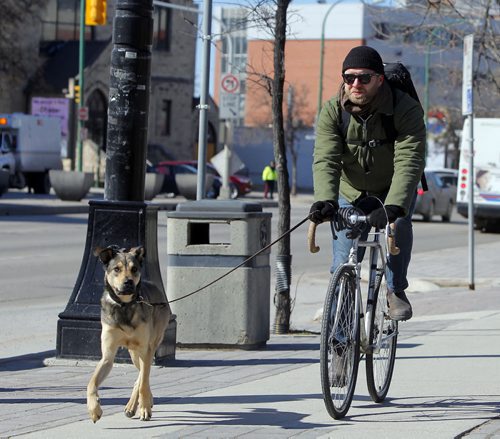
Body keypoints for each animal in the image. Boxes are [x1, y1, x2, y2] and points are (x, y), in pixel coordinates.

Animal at [86, 246, 172, 424]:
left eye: (134, 269)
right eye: (116, 269)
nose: (128, 282)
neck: (124, 306)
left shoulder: (145, 349)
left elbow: (143, 382)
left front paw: (144, 408)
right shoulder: (107, 355)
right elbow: (91, 383)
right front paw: (94, 409)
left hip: (152, 342)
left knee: (142, 377)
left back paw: (137, 405)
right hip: (134, 353)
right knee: (140, 375)